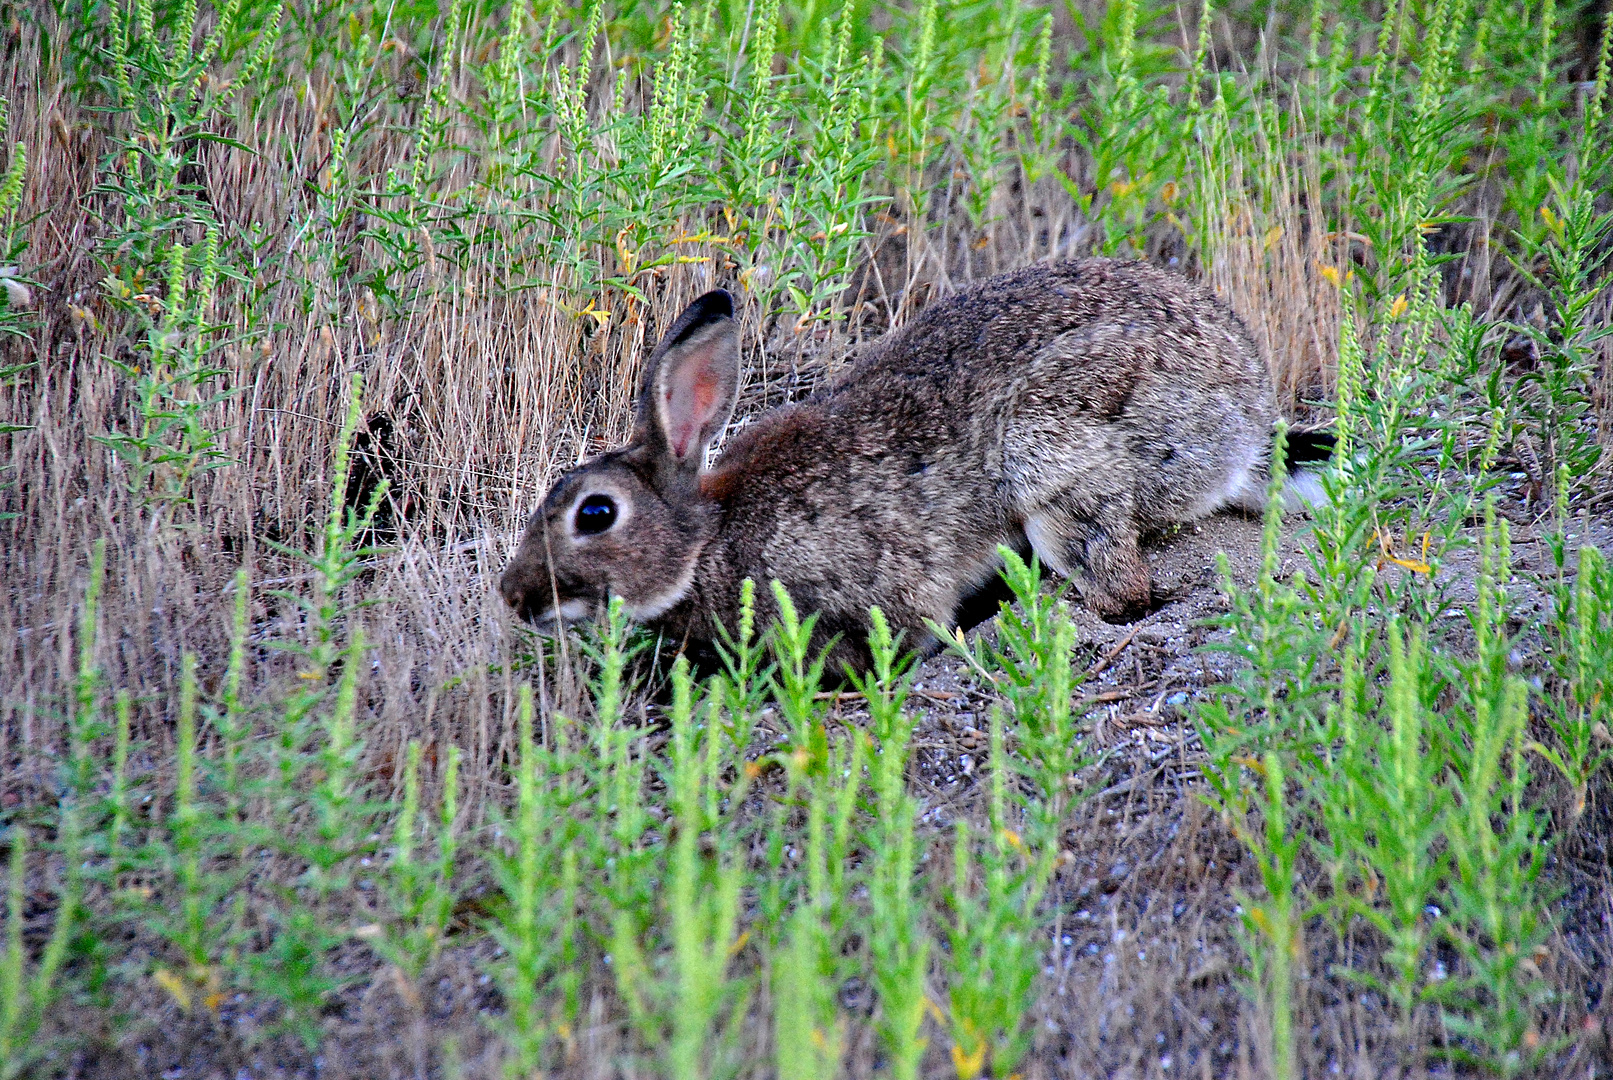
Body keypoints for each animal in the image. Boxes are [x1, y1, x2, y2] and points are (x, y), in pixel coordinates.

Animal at [500, 257, 1322, 673]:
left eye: (595, 513)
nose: (513, 596)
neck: (710, 538)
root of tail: (1248, 424)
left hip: (1056, 456)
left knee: (1120, 584)